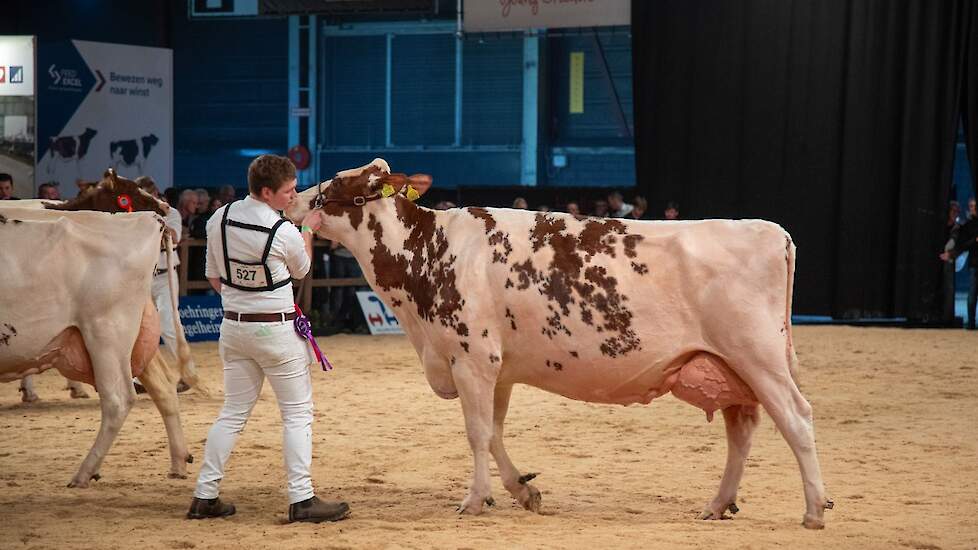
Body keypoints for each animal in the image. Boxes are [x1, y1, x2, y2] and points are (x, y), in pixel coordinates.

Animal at [0, 170, 200, 486]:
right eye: (126, 195)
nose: (169, 208)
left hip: (106, 331)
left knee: (119, 399)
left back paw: (84, 472)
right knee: (162, 387)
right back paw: (178, 462)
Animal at [286, 160, 836, 532]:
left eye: (335, 184)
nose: (292, 199)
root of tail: (769, 230)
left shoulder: (471, 358)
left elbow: (476, 433)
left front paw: (474, 500)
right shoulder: (497, 367)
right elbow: (495, 433)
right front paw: (522, 491)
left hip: (758, 355)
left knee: (797, 419)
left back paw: (813, 509)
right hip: (728, 365)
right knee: (742, 430)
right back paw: (719, 504)